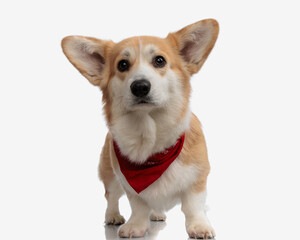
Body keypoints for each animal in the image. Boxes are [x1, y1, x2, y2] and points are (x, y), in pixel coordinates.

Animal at [62, 18, 219, 238]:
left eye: (160, 61)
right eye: (122, 65)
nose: (140, 86)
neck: (152, 141)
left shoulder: (197, 178)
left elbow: (193, 205)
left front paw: (199, 226)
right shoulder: (128, 184)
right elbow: (138, 205)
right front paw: (135, 225)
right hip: (109, 173)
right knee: (110, 196)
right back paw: (113, 216)